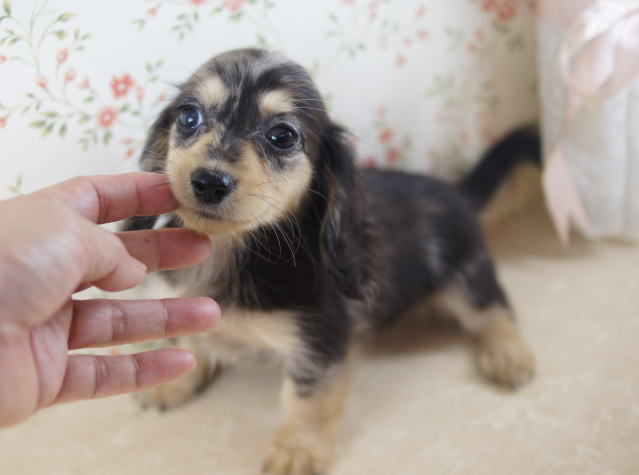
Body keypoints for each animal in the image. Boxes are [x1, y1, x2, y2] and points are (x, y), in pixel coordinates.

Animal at [122, 48, 536, 475]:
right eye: (188, 116)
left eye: (283, 136)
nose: (208, 181)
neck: (230, 251)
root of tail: (458, 192)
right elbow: (185, 341)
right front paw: (172, 383)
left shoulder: (320, 340)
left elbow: (306, 401)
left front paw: (297, 450)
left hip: (464, 275)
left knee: (494, 308)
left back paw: (508, 354)